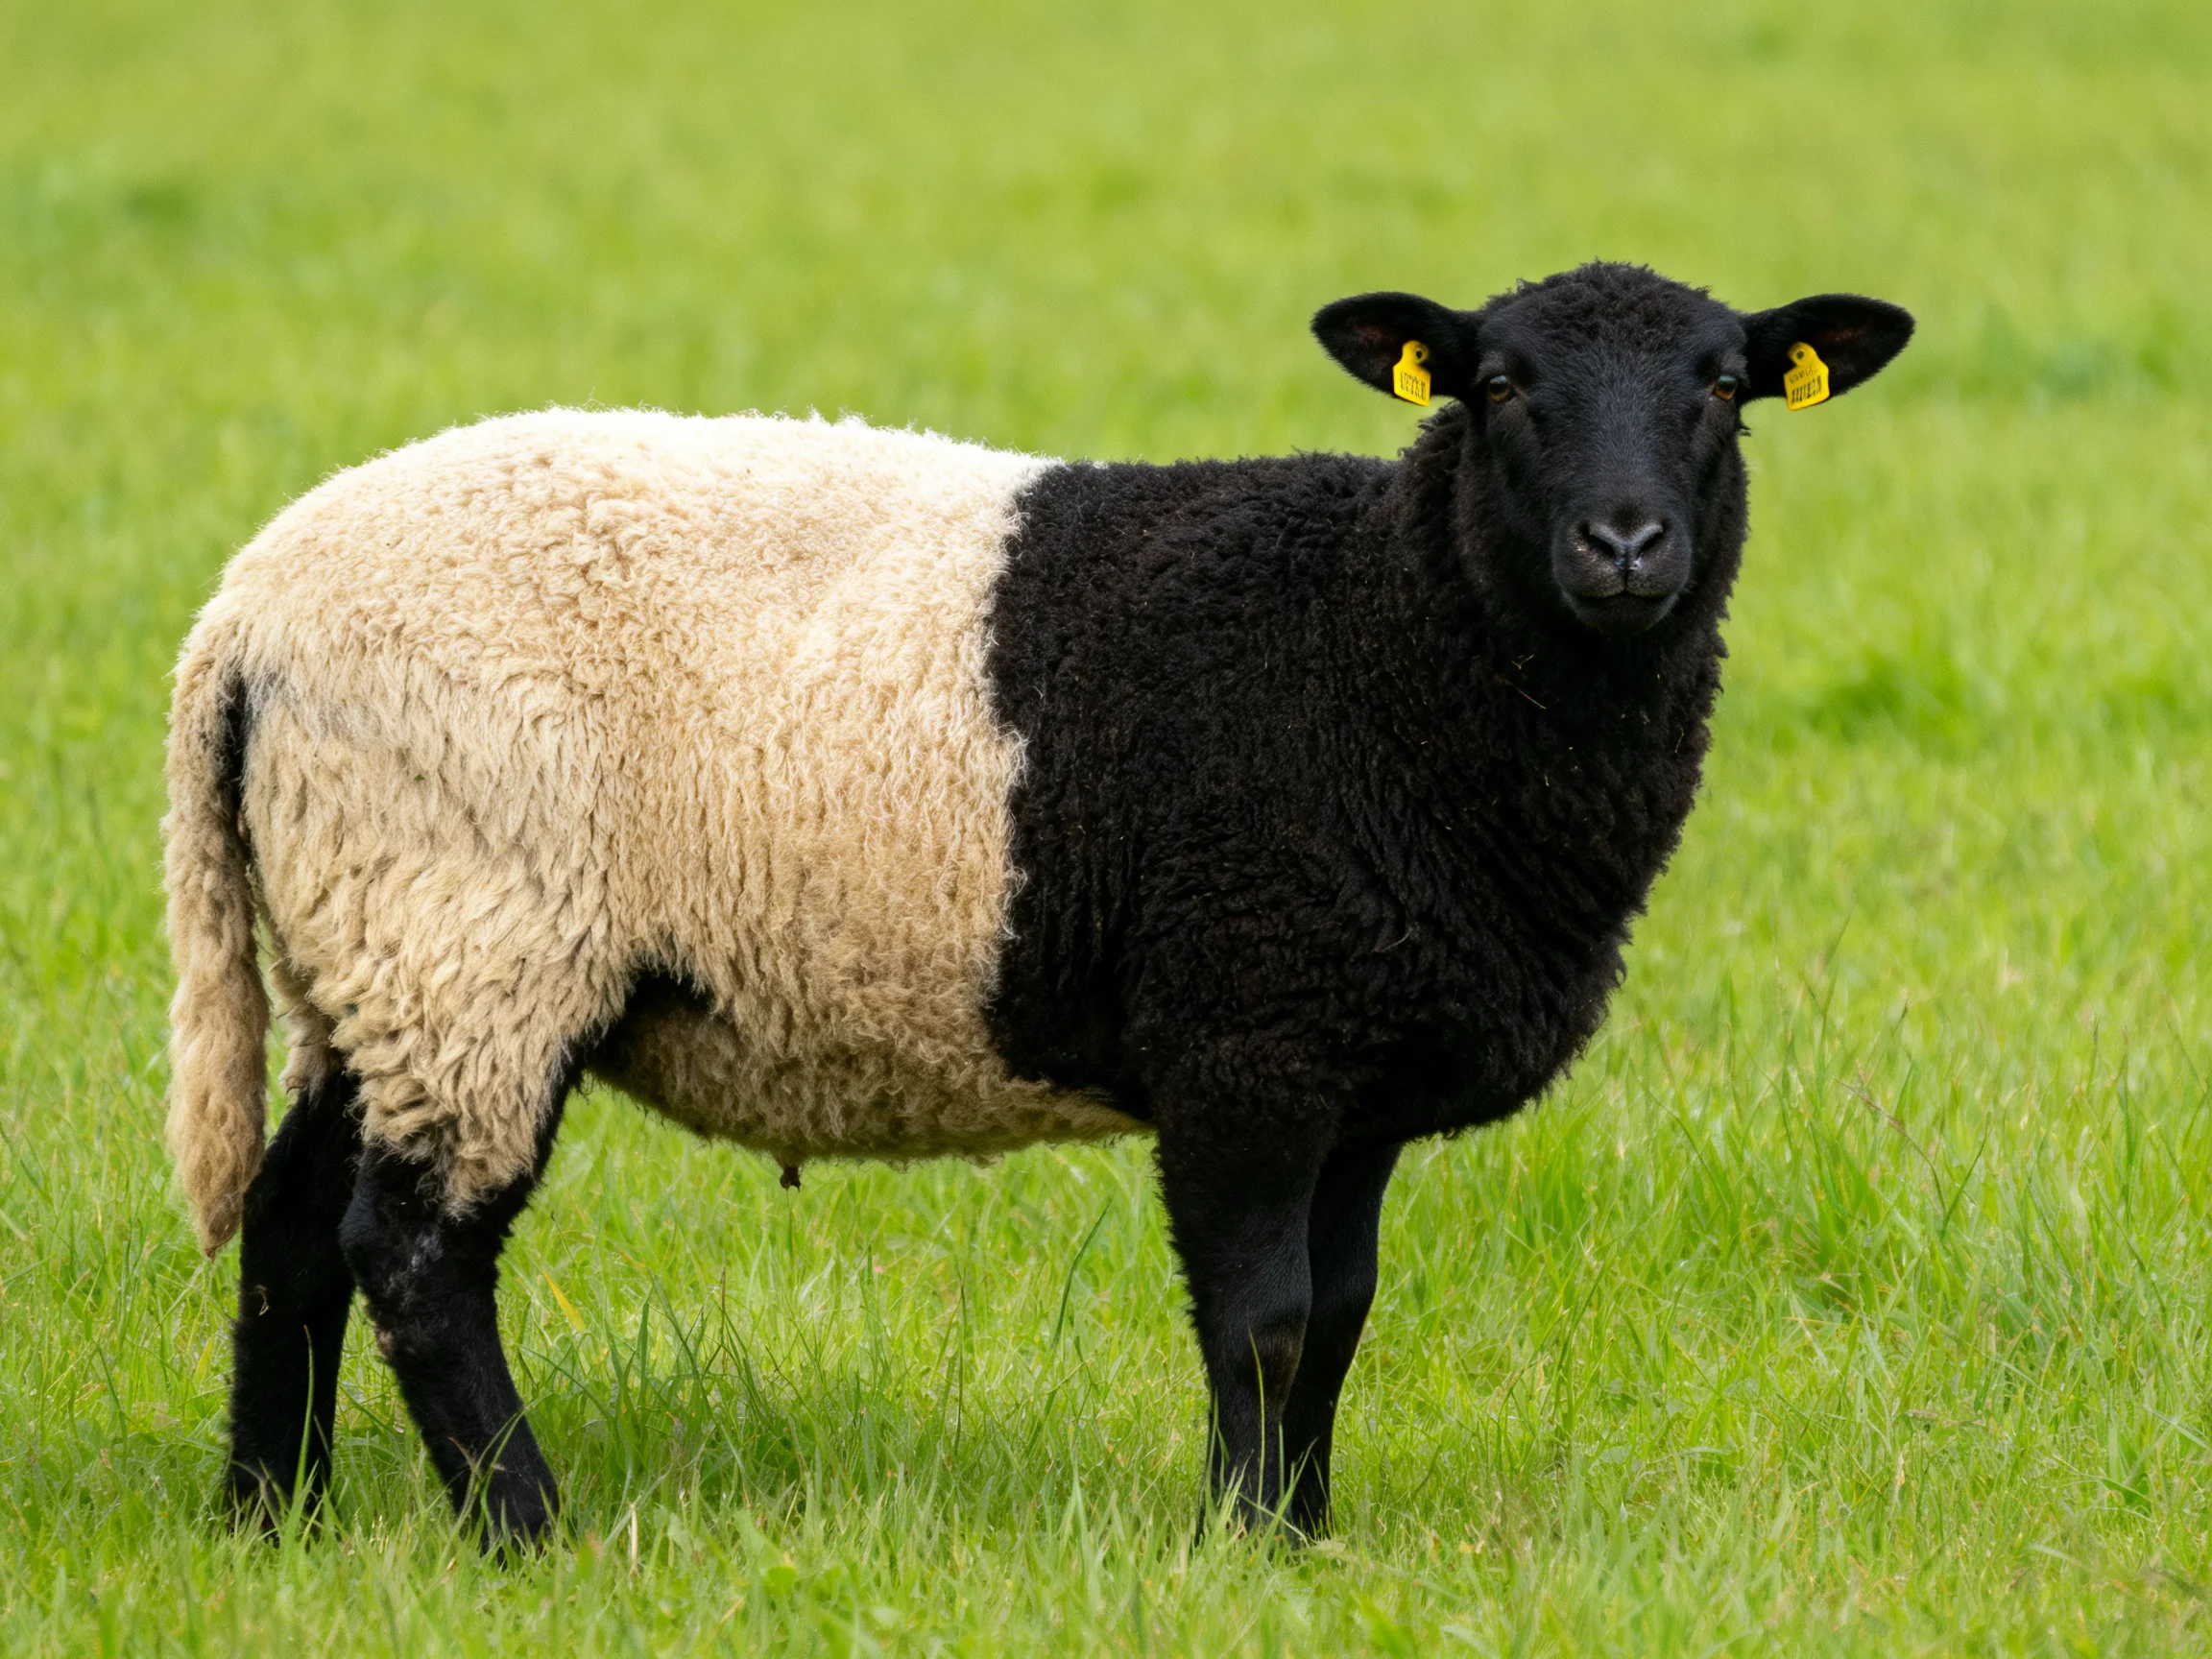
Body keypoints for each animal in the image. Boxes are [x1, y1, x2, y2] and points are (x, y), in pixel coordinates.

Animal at [165, 261, 1912, 1544]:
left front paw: (1309, 1537)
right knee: (413, 1253)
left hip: (366, 953)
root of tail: (244, 613)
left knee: (291, 1225)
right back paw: (531, 1532)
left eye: (1721, 388)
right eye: (1496, 388)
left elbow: (1344, 1313)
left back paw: (273, 1518)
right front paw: (1240, 1551)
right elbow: (1267, 1318)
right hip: (472, 936)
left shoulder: (1350, 1066)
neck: (1384, 637)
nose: (1623, 545)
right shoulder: (1244, 1039)